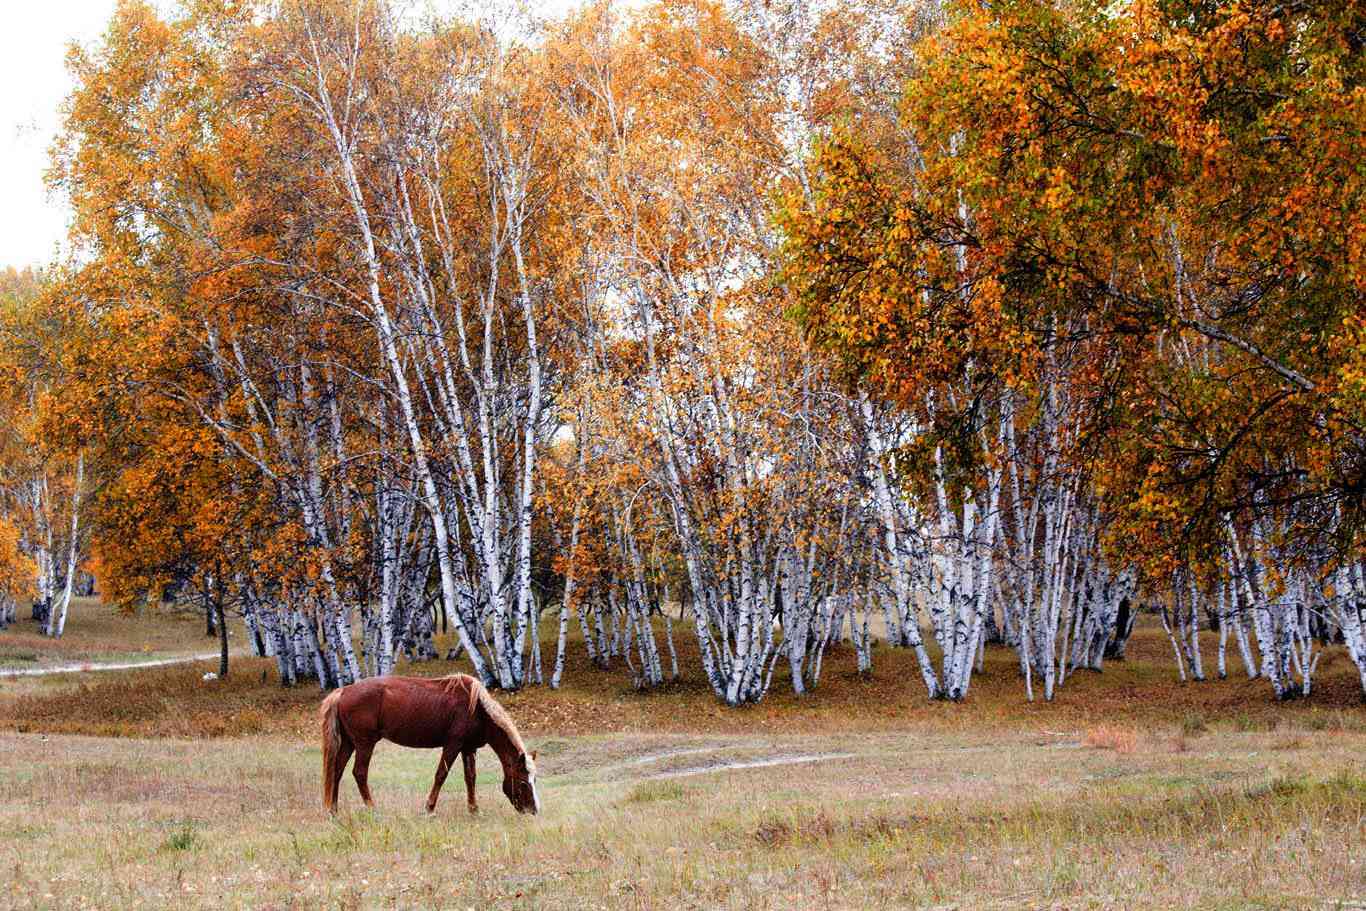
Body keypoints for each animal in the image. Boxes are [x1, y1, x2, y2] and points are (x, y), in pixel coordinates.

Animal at [319, 674, 538, 814]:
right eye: (523, 782)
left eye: (534, 780)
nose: (533, 811)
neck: (477, 708)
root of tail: (343, 691)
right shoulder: (453, 745)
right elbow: (441, 774)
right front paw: (429, 808)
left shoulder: (468, 748)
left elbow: (470, 777)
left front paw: (474, 809)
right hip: (365, 744)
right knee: (359, 773)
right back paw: (372, 808)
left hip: (349, 743)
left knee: (336, 771)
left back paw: (334, 811)